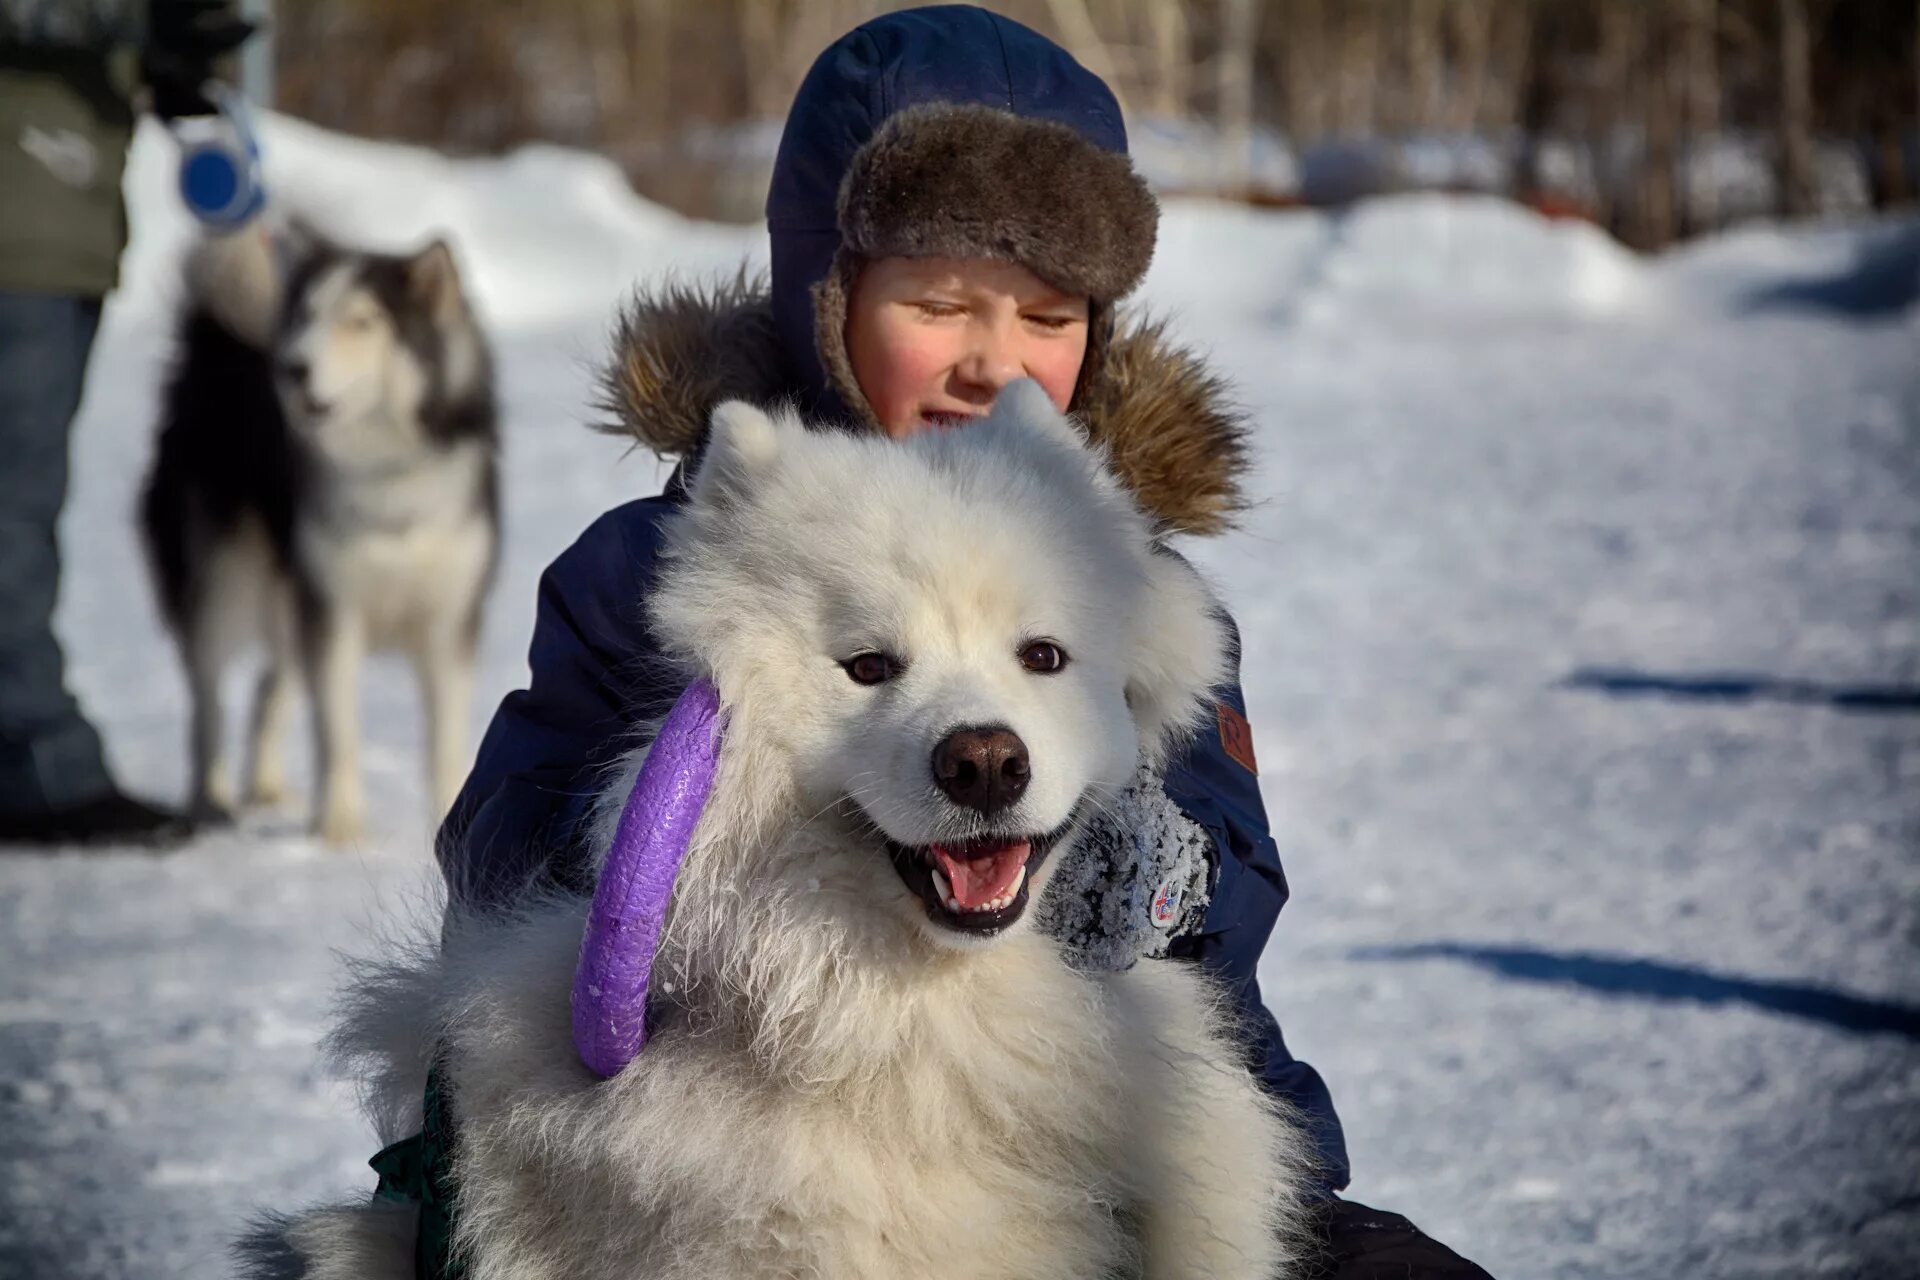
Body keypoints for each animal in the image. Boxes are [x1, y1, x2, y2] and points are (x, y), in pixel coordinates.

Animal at [142, 225, 503, 844]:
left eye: (361, 321)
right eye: (306, 316)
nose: (292, 368)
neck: (386, 480)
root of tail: (219, 346)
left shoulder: (450, 622)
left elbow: (446, 742)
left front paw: (447, 821)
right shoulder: (334, 613)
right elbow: (338, 730)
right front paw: (338, 829)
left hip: (288, 598)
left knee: (269, 685)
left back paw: (265, 785)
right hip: (225, 582)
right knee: (208, 700)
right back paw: (211, 801)